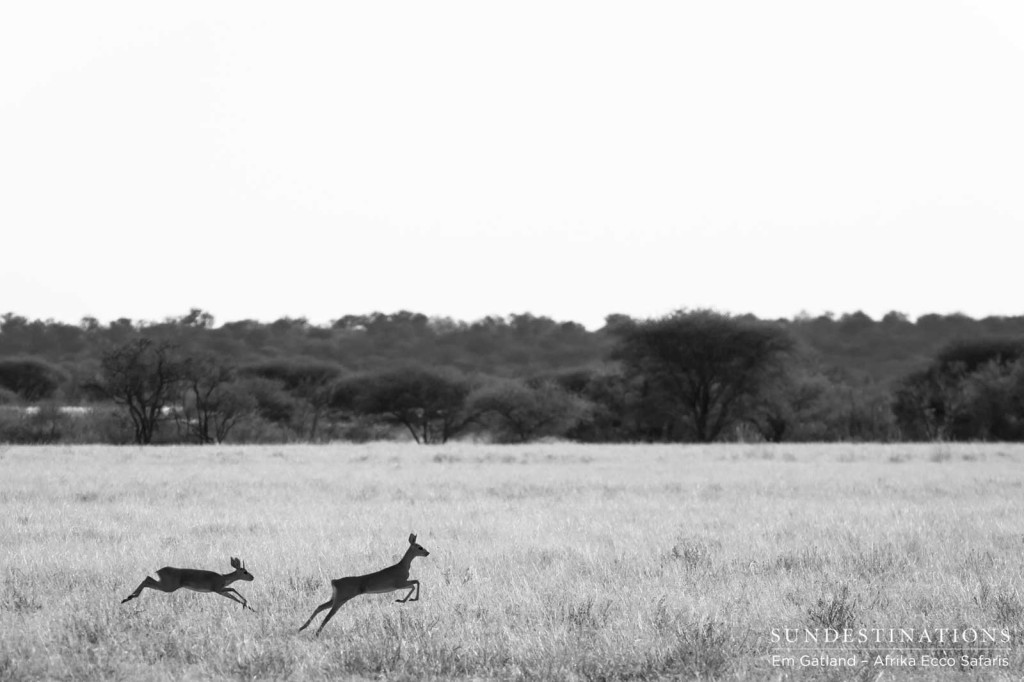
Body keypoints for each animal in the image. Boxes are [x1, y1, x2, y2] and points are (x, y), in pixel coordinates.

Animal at [119, 557, 253, 606]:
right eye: (245, 571)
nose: (253, 577)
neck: (224, 578)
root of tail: (159, 570)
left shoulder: (220, 591)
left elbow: (232, 597)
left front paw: (248, 607)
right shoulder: (217, 589)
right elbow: (233, 589)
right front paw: (246, 604)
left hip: (166, 585)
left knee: (147, 579)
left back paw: (127, 598)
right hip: (168, 587)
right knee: (147, 579)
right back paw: (128, 597)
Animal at [303, 532, 432, 634]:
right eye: (420, 547)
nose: (428, 553)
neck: (403, 566)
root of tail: (334, 581)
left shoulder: (400, 585)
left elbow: (414, 584)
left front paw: (403, 600)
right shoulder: (399, 584)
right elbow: (416, 582)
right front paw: (407, 600)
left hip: (335, 598)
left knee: (320, 607)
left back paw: (302, 628)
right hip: (340, 599)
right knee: (328, 615)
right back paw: (316, 633)